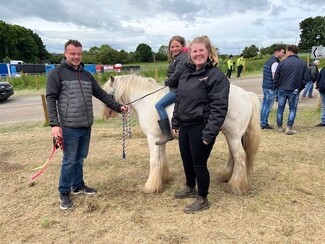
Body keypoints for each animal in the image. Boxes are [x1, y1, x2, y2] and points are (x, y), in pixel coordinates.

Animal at [104, 73, 260, 195]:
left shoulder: (152, 137)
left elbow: (154, 161)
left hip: (233, 136)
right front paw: (164, 179)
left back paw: (235, 186)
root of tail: (247, 95)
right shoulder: (159, 139)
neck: (146, 101)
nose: (107, 114)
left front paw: (150, 187)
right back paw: (226, 176)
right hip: (231, 135)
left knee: (240, 156)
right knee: (233, 155)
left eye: (108, 93)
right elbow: (162, 158)